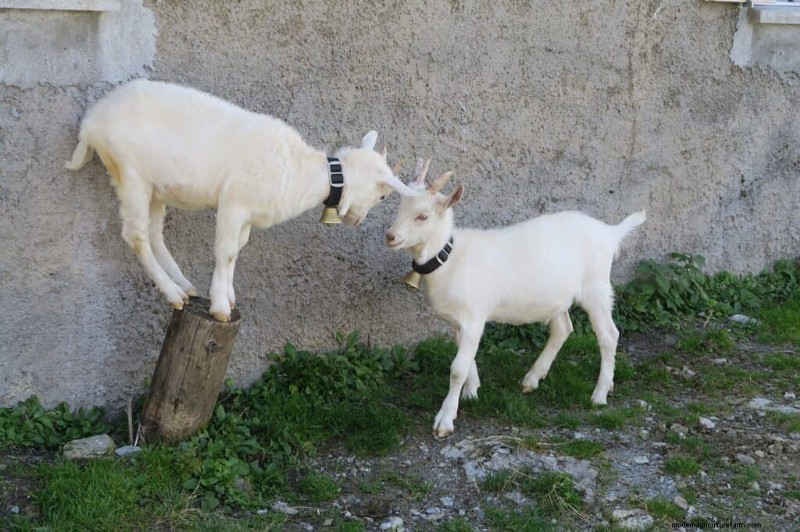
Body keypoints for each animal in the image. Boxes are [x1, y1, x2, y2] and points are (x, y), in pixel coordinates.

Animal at [66, 79, 419, 321]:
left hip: (156, 187)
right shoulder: (233, 204)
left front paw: (229, 296)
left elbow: (236, 252)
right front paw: (221, 308)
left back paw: (185, 286)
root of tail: (91, 122)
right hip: (129, 173)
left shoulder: (248, 214)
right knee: (136, 235)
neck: (299, 170)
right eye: (384, 194)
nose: (357, 220)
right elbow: (224, 252)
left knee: (154, 233)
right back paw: (173, 294)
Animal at [385, 160, 646, 437]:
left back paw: (599, 394)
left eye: (422, 216)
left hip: (596, 288)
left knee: (609, 334)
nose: (391, 236)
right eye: (400, 206)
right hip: (557, 296)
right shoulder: (460, 322)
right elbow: (468, 360)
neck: (451, 258)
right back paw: (532, 379)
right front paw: (472, 392)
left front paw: (445, 420)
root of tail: (610, 232)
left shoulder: (473, 316)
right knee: (563, 328)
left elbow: (457, 369)